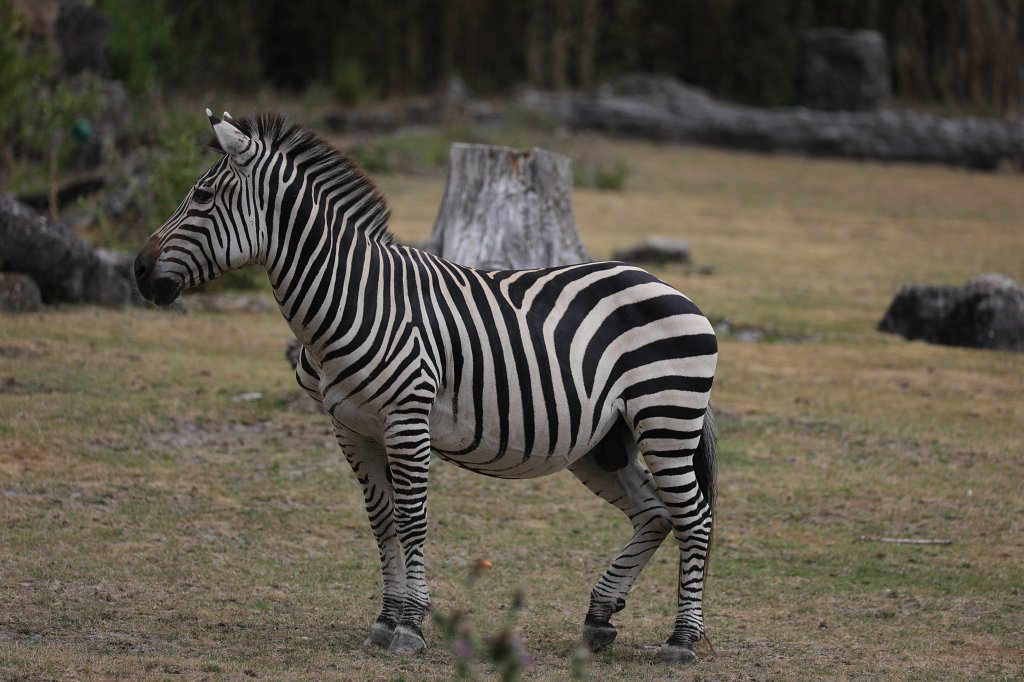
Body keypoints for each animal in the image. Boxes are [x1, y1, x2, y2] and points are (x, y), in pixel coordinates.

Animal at [133, 110, 719, 665]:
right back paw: (598, 618)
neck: (351, 297)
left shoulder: (407, 418)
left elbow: (412, 520)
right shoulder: (350, 428)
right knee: (654, 513)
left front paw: (412, 626)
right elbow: (382, 521)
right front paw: (385, 620)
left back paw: (681, 640)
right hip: (603, 441)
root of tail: (663, 283)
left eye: (202, 196)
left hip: (666, 416)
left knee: (693, 517)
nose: (138, 272)